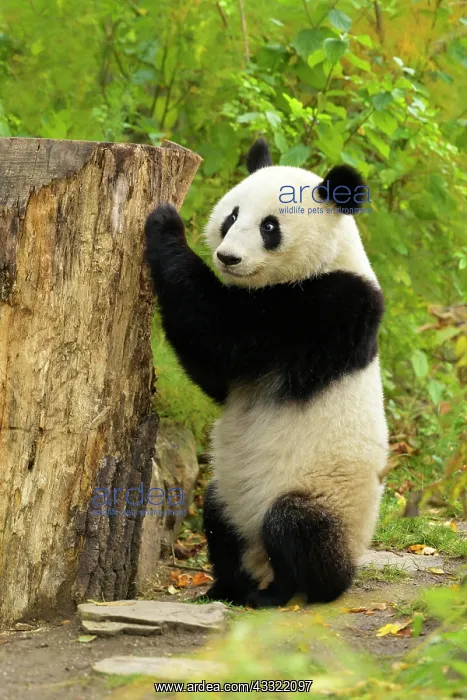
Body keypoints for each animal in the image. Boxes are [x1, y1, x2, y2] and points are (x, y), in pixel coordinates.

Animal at [144, 138, 388, 608]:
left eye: (269, 227)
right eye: (232, 216)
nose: (227, 257)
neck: (327, 261)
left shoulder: (327, 309)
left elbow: (219, 337)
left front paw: (166, 224)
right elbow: (217, 376)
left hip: (326, 496)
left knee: (294, 528)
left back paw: (280, 593)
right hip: (232, 491)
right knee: (218, 516)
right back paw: (226, 587)